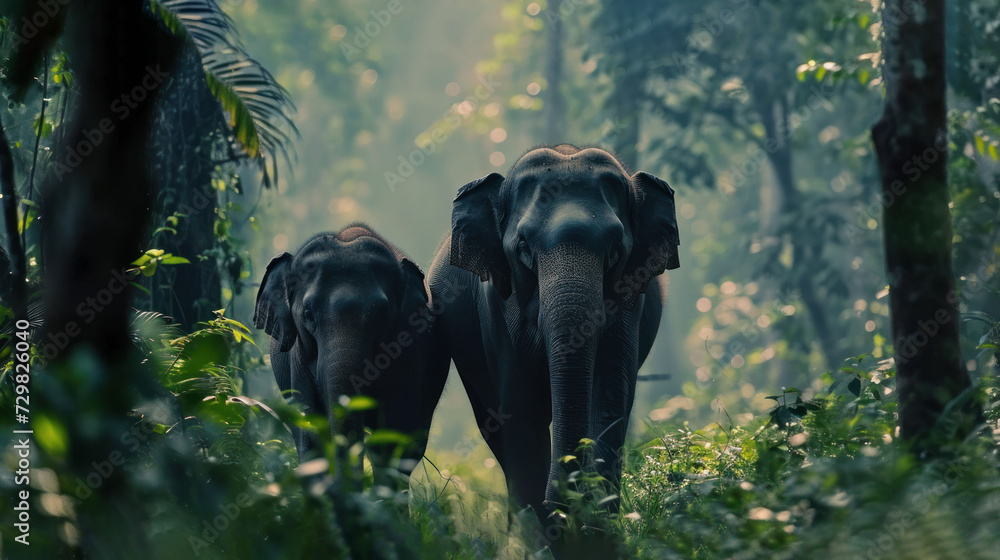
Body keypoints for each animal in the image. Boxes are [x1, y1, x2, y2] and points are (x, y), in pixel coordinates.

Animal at [254, 224, 450, 481]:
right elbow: (312, 434)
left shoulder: (411, 349)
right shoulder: (298, 358)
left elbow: (394, 434)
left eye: (382, 314)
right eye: (308, 314)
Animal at [427, 145, 679, 522]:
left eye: (615, 249)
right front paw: (547, 524)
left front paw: (592, 522)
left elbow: (609, 397)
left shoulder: (631, 302)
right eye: (523, 248)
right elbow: (520, 409)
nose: (560, 505)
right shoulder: (497, 306)